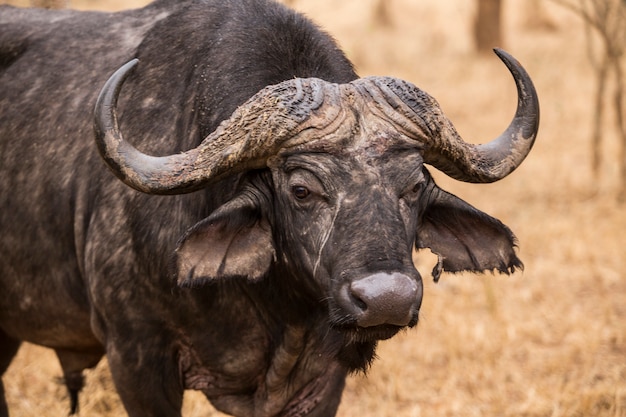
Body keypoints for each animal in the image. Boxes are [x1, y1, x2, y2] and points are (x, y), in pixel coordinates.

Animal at [0, 0, 536, 416]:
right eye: (301, 190)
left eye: (414, 186)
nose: (387, 300)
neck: (275, 311)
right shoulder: (136, 357)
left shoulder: (322, 381)